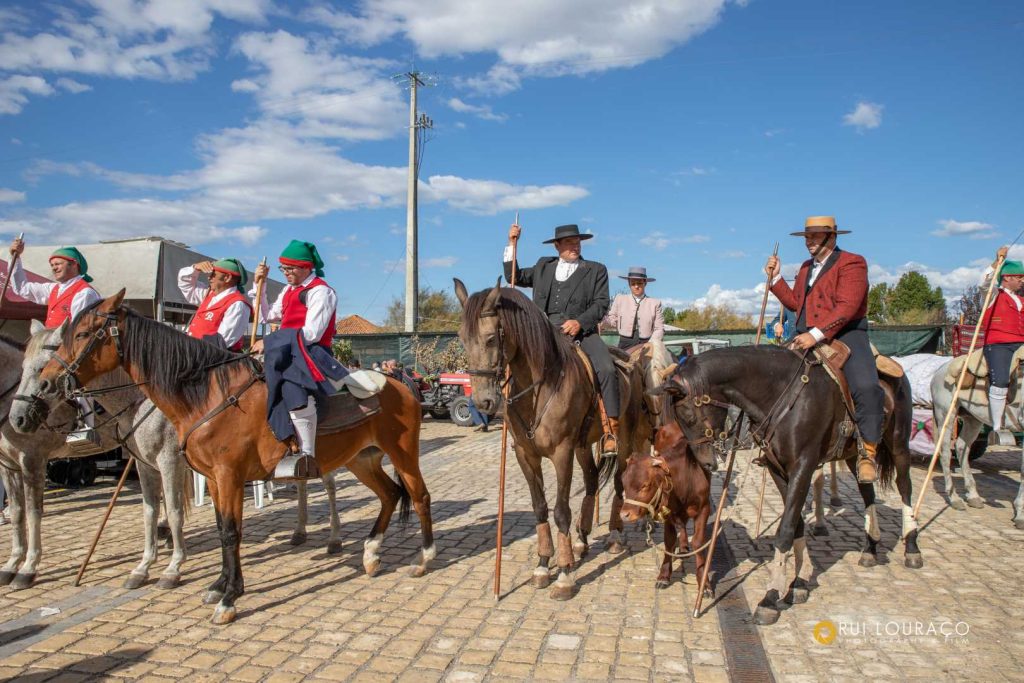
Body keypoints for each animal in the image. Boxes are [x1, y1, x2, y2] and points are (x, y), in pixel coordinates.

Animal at [0, 324, 188, 590]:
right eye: (23, 366)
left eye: (43, 367)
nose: (18, 419)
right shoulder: (9, 465)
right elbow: (149, 510)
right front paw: (143, 567)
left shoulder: (32, 460)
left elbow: (33, 513)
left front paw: (28, 568)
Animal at [35, 291, 434, 624]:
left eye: (84, 334)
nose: (45, 383)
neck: (208, 396)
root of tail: (399, 383)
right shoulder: (212, 478)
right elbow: (222, 528)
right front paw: (222, 586)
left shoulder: (228, 476)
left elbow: (230, 532)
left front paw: (228, 599)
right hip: (361, 459)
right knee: (389, 495)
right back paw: (371, 553)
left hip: (402, 453)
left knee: (419, 496)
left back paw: (423, 558)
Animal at [454, 279, 650, 600]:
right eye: (462, 339)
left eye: (491, 339)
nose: (483, 402)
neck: (538, 388)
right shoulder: (526, 455)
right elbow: (540, 508)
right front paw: (544, 564)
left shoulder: (561, 454)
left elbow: (560, 511)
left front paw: (565, 574)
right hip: (584, 446)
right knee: (592, 482)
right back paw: (582, 540)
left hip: (624, 439)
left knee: (620, 483)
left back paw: (614, 535)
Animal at [652, 345, 921, 626]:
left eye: (688, 415)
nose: (705, 462)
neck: (779, 394)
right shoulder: (777, 469)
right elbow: (796, 523)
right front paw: (799, 582)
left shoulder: (803, 466)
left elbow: (786, 529)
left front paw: (770, 597)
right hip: (853, 454)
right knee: (866, 490)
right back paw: (870, 547)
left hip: (899, 444)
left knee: (905, 487)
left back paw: (912, 547)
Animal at [929, 356, 1024, 527]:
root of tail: (941, 368)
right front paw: (1020, 514)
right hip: (945, 414)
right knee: (945, 453)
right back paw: (954, 498)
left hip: (973, 418)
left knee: (962, 447)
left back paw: (973, 495)